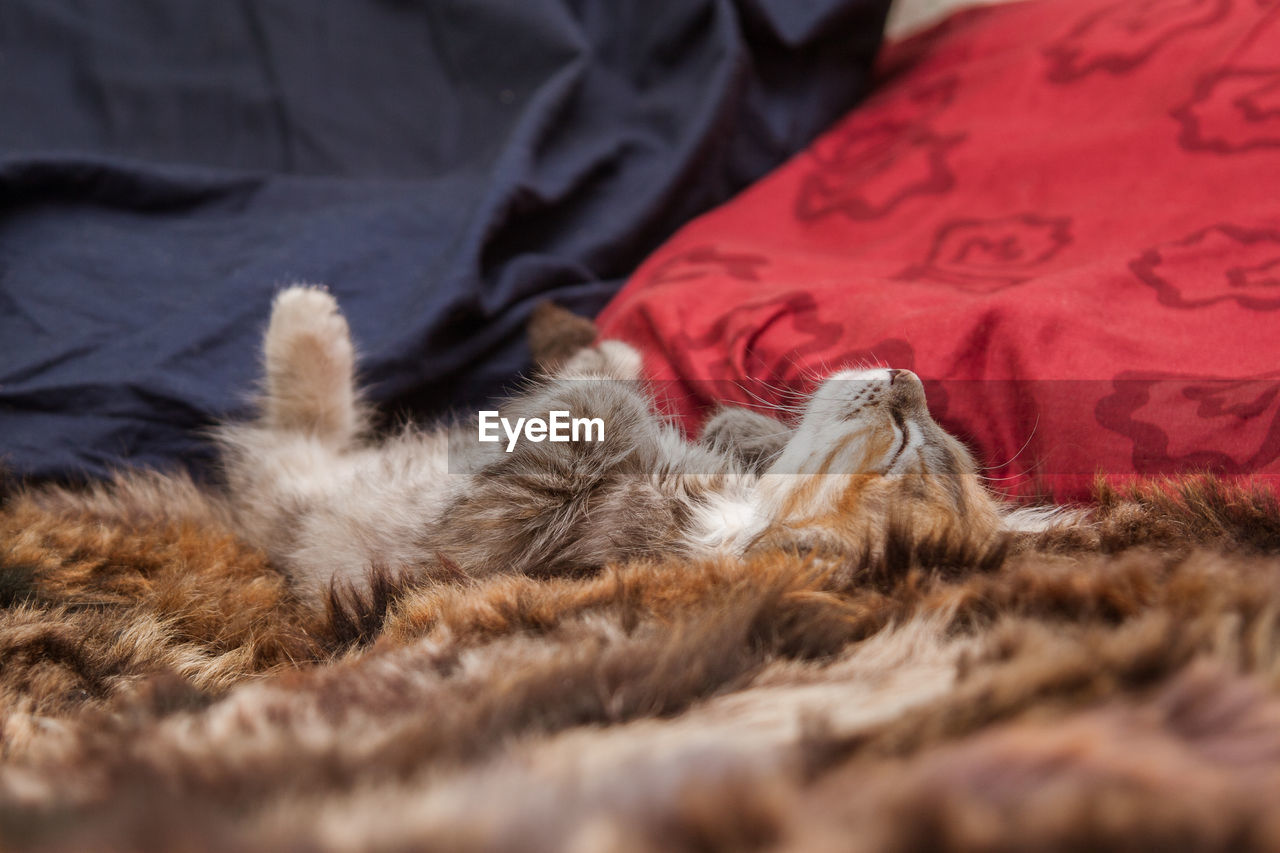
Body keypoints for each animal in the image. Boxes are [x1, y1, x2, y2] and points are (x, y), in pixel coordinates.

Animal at [217, 284, 1059, 596]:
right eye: (924, 429)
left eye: (901, 441)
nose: (908, 378)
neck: (725, 513)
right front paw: (739, 427)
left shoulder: (506, 526)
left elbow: (586, 416)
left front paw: (610, 382)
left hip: (300, 497)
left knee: (289, 437)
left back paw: (305, 324)